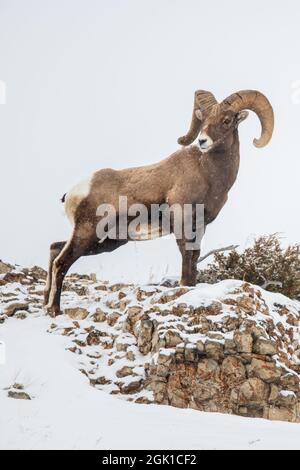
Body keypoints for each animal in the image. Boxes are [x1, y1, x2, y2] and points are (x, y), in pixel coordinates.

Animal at [44, 89, 274, 316]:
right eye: (204, 119)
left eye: (226, 120)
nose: (202, 141)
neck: (208, 174)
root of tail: (74, 192)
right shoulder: (182, 221)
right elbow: (186, 255)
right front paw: (184, 286)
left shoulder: (199, 226)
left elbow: (195, 257)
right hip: (87, 233)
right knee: (61, 262)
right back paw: (54, 309)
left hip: (104, 241)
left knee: (55, 249)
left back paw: (46, 302)